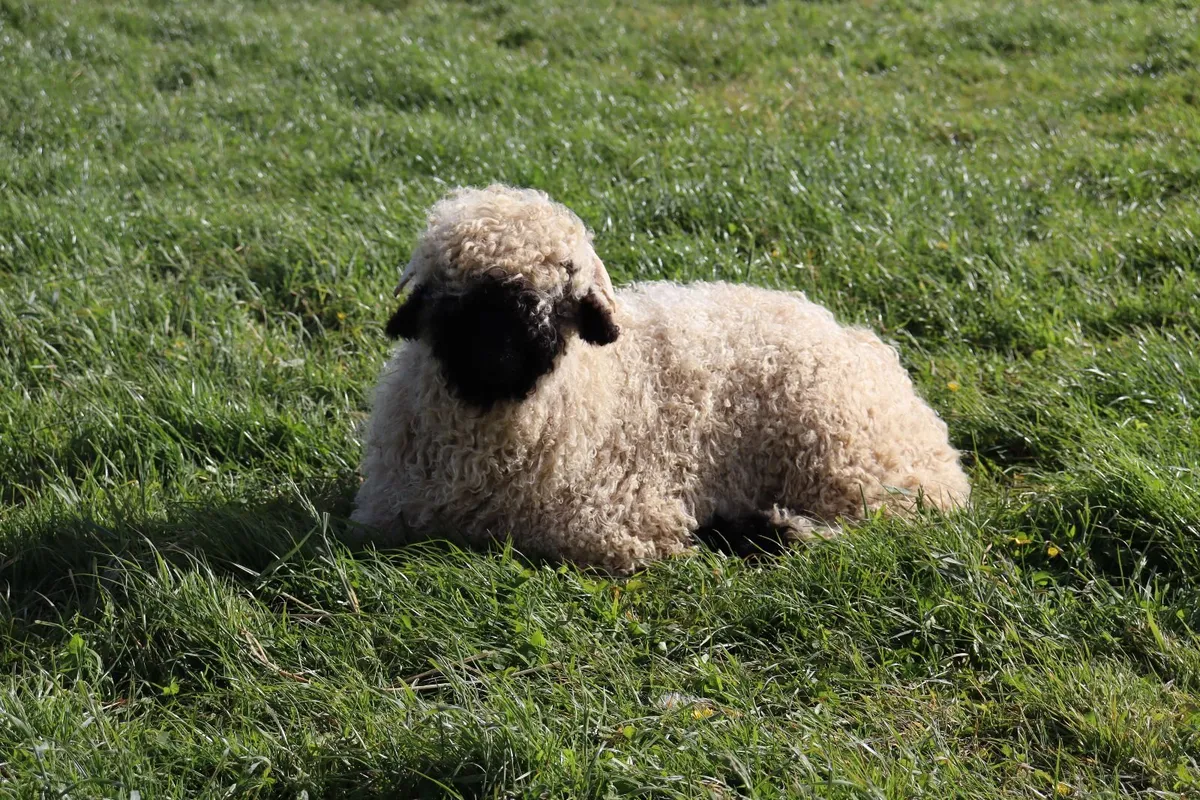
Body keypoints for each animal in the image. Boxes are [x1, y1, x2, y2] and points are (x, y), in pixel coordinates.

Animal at [351, 184, 970, 573]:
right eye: (454, 292)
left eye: (564, 290)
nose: (500, 348)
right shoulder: (390, 515)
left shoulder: (613, 522)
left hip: (848, 462)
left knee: (887, 523)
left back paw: (773, 531)